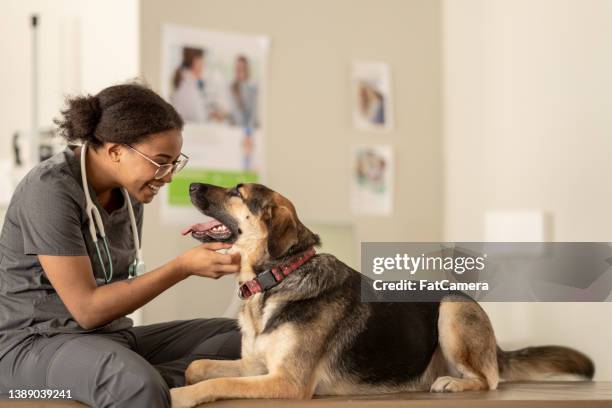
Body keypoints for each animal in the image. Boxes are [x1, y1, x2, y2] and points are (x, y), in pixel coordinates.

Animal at [170, 182, 596, 408]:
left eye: (236, 193)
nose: (190, 184)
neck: (279, 276)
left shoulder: (287, 382)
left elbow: (216, 384)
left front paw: (180, 396)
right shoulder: (258, 366)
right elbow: (199, 367)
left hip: (453, 308)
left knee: (488, 380)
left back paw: (454, 384)